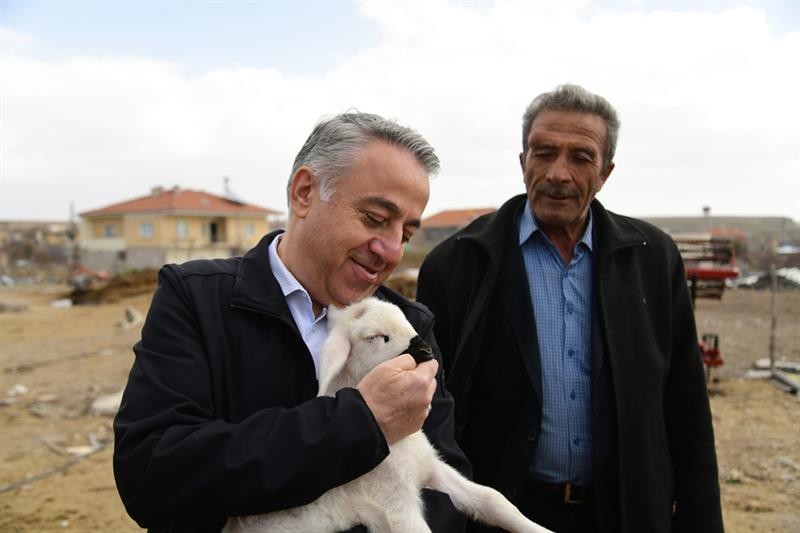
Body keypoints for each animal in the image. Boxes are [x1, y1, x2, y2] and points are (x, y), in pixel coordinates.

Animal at [225, 297, 553, 533]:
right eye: (378, 337)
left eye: (407, 322)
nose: (426, 351)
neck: (395, 440)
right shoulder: (392, 502)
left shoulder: (432, 471)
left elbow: (493, 500)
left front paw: (539, 530)